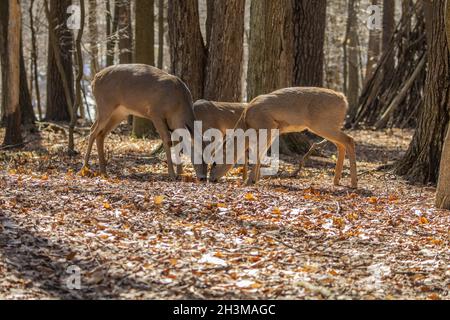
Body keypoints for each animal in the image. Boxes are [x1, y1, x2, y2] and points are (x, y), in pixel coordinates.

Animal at [208, 86, 358, 189]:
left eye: (215, 163)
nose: (211, 179)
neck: (246, 122)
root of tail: (343, 100)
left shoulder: (267, 125)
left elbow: (258, 153)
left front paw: (249, 181)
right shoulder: (274, 130)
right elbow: (261, 153)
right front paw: (255, 179)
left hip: (323, 124)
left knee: (349, 140)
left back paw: (353, 183)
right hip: (328, 125)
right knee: (341, 144)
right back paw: (336, 180)